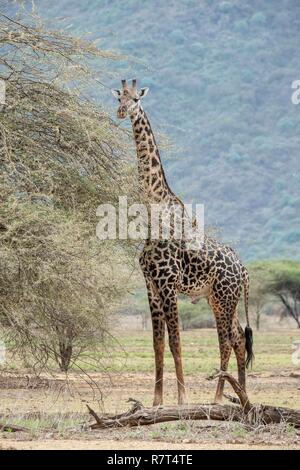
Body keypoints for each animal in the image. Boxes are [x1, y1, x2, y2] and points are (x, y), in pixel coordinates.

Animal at [110, 79, 253, 406]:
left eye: (136, 99)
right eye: (119, 96)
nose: (122, 112)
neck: (154, 212)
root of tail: (243, 270)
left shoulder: (167, 285)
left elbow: (176, 342)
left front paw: (182, 399)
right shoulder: (150, 286)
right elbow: (158, 345)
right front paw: (156, 401)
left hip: (225, 297)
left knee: (227, 340)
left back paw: (218, 397)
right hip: (219, 298)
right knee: (239, 338)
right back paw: (241, 396)